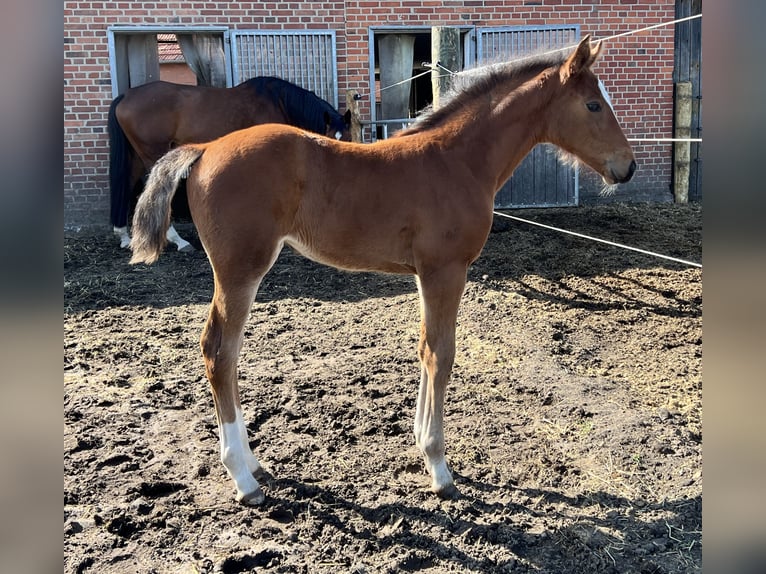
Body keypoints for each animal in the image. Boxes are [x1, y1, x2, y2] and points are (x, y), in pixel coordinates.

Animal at [108, 76, 352, 251]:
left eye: (349, 138)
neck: (279, 102)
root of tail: (126, 95)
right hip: (153, 154)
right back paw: (178, 240)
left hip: (138, 155)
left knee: (127, 183)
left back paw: (123, 235)